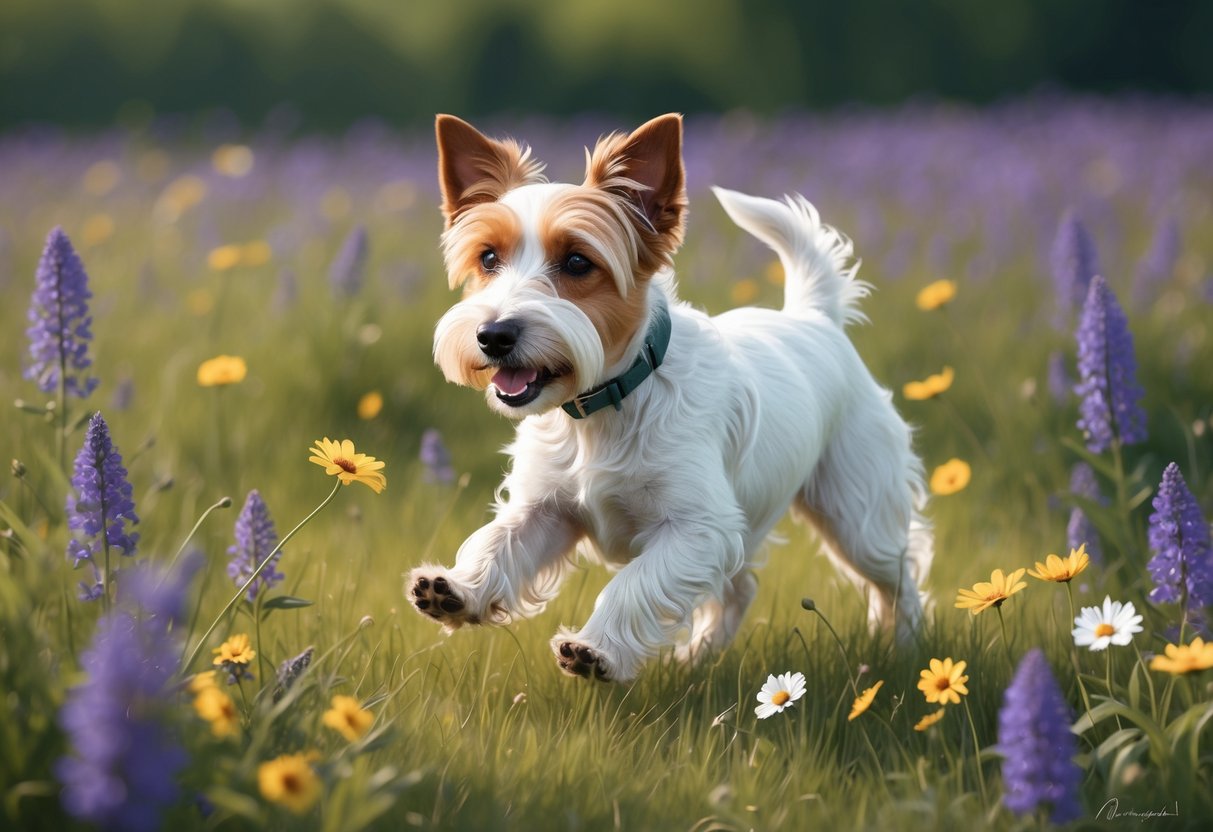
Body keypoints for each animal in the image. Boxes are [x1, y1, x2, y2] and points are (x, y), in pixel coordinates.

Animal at [407, 110, 926, 684]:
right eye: (488, 257)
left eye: (577, 262)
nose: (493, 335)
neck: (608, 404)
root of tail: (814, 317)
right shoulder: (545, 509)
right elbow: (496, 541)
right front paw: (458, 588)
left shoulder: (698, 528)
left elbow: (634, 584)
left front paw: (596, 649)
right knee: (738, 588)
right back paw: (697, 659)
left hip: (856, 513)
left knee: (899, 572)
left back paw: (903, 647)